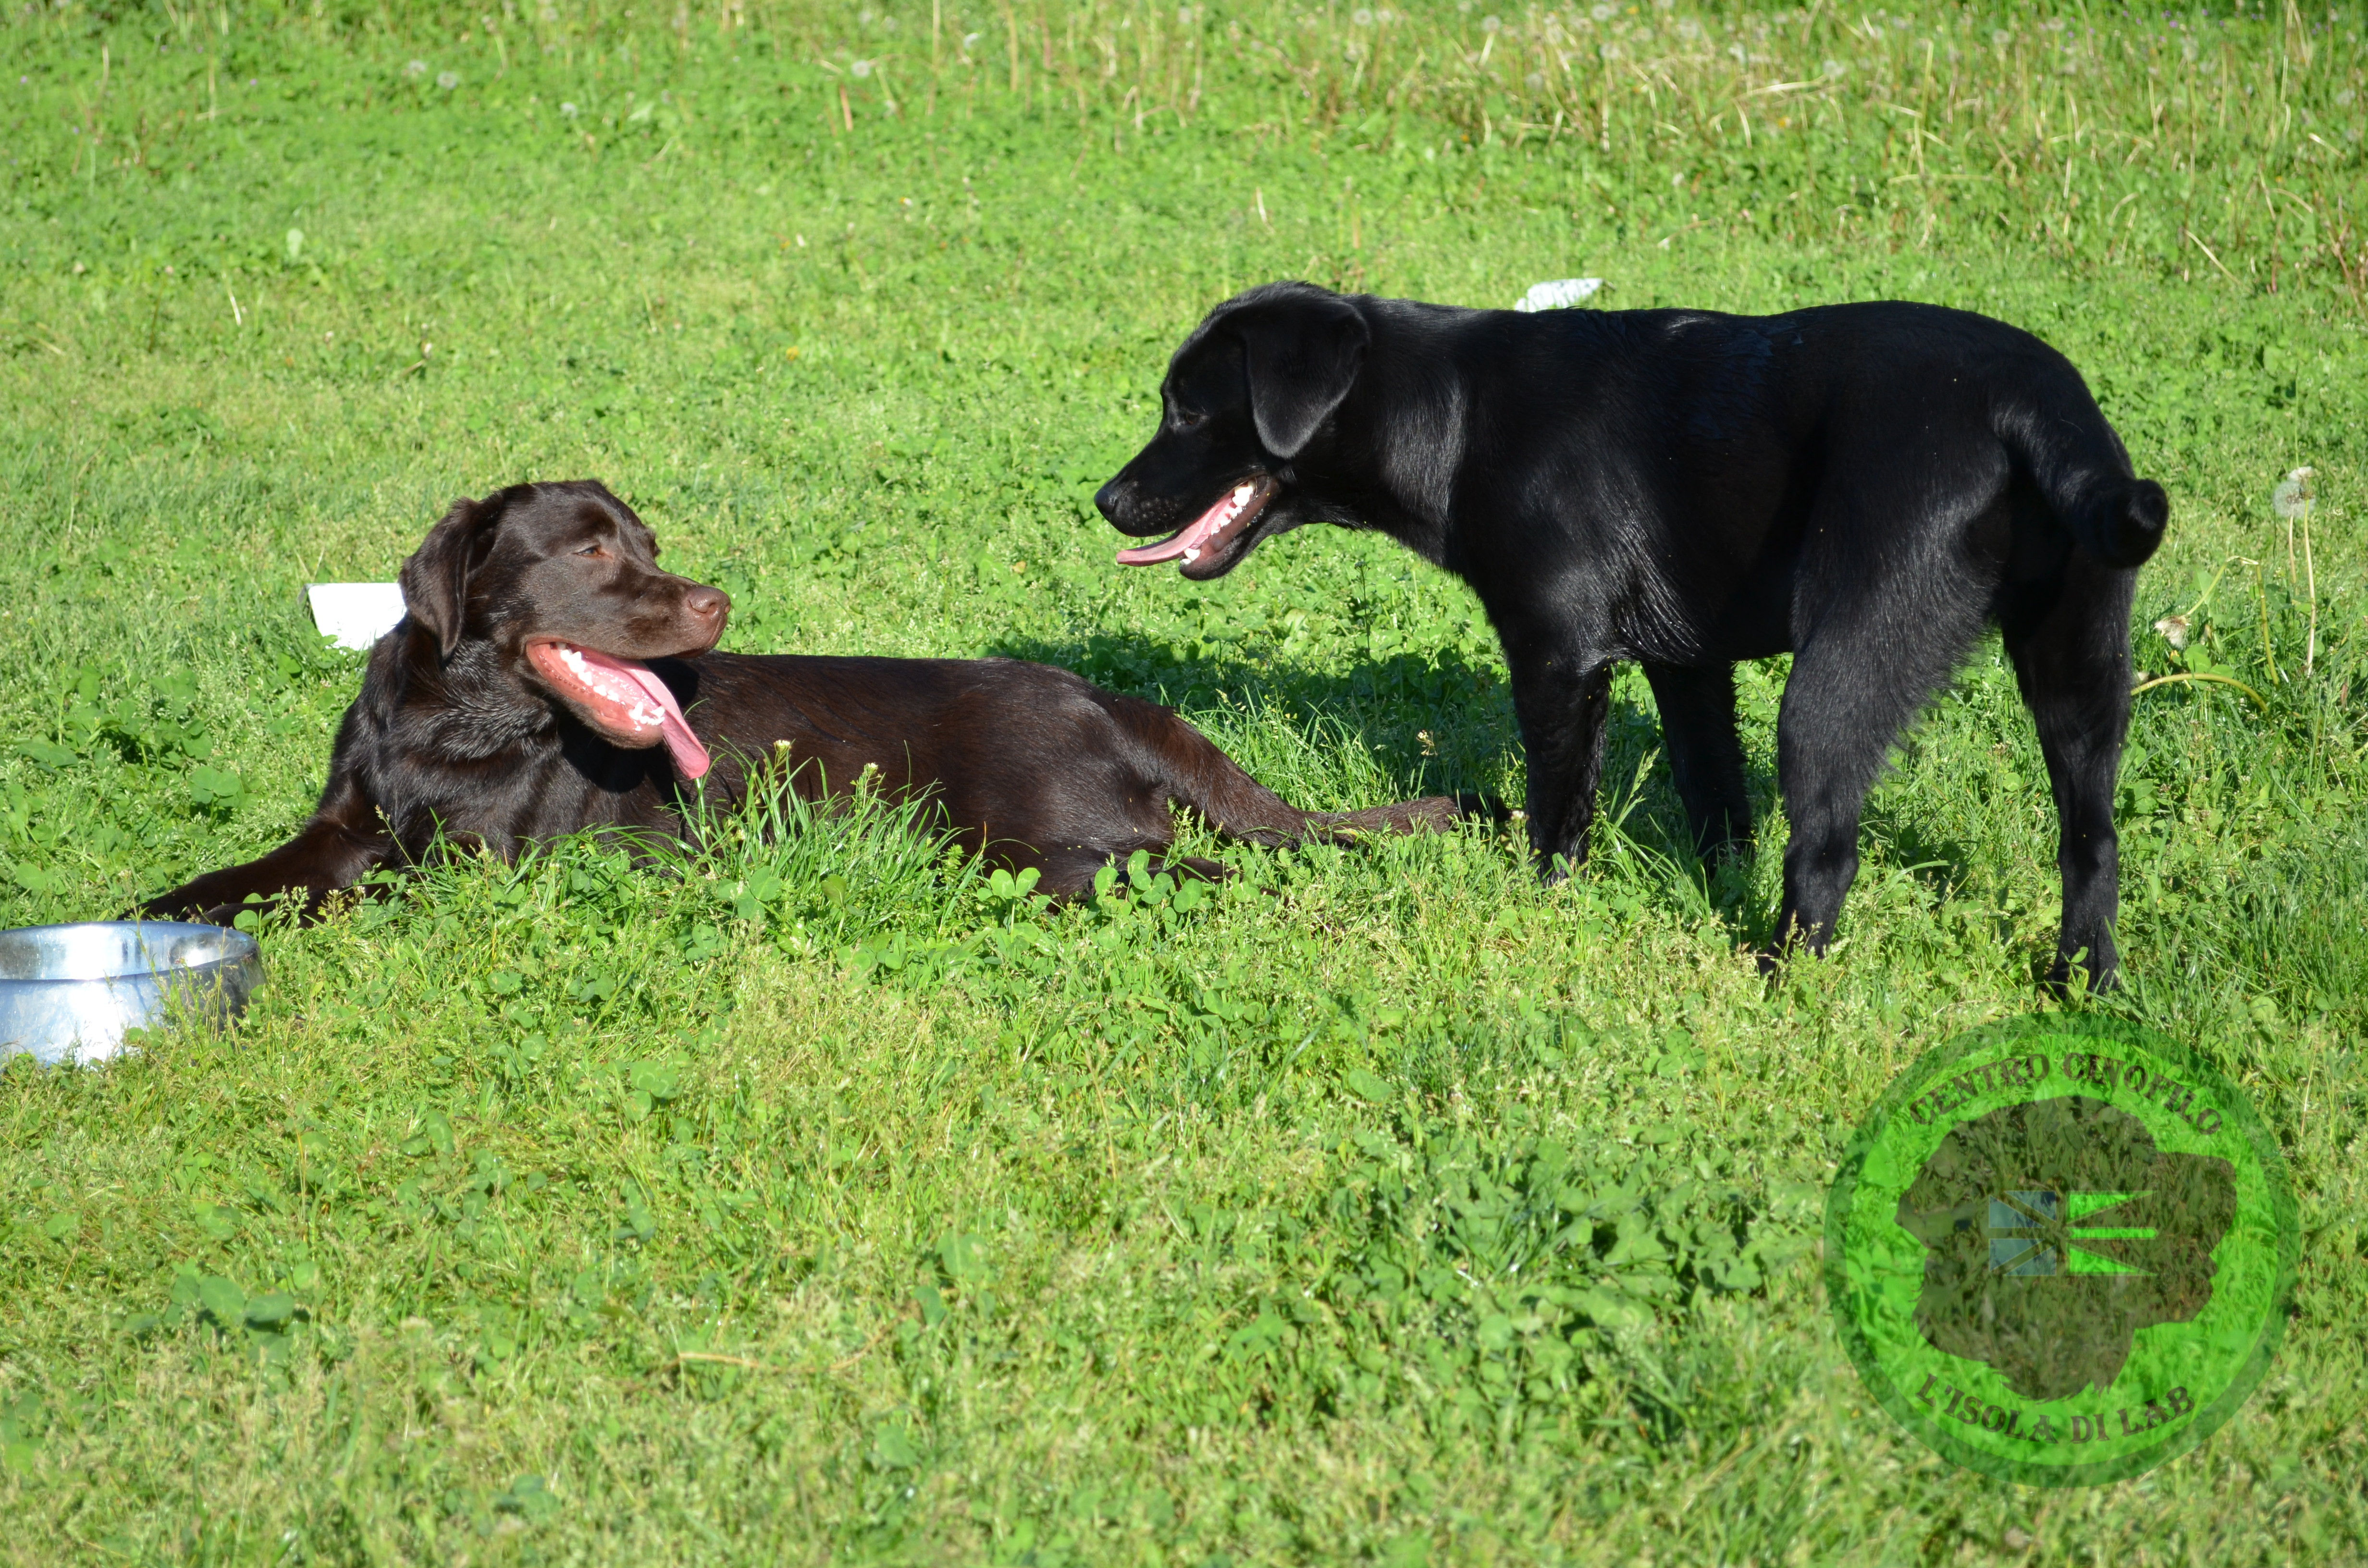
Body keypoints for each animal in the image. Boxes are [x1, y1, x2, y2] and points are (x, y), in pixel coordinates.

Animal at [138, 476, 1468, 923]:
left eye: (649, 542)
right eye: (591, 552)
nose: (717, 600)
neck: (451, 722)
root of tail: (1103, 697)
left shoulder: (480, 869)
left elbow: (356, 894)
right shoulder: (343, 824)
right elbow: (251, 875)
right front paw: (160, 913)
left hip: (1041, 849)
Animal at [1089, 283, 2169, 990]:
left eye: (1186, 406)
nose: (1104, 500)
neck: (1455, 419)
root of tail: (2031, 404)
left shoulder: (1557, 658)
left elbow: (1556, 812)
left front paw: (1545, 906)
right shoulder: (1684, 667)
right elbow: (1716, 801)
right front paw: (1709, 886)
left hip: (1839, 674)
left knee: (1826, 851)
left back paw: (1775, 978)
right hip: (2080, 675)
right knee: (2092, 842)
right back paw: (2082, 982)